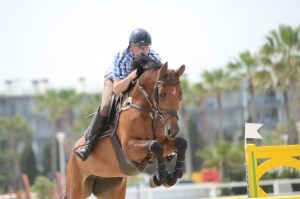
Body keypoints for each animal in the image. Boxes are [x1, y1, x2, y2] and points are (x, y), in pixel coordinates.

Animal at [67, 54, 186, 199]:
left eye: (180, 95)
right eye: (162, 94)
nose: (172, 130)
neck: (147, 111)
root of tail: (72, 156)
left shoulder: (165, 143)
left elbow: (181, 143)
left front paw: (172, 177)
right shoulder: (129, 148)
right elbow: (154, 145)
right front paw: (159, 178)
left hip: (113, 187)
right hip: (76, 186)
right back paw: (84, 151)